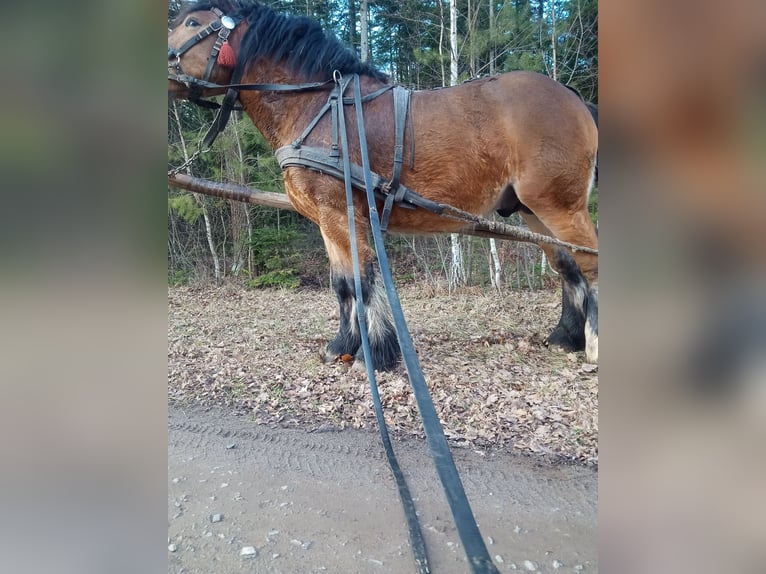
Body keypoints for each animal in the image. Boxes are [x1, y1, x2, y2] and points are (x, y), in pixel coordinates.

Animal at [168, 0, 599, 371]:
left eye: (191, 22)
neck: (318, 106)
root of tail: (574, 98)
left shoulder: (339, 212)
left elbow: (360, 281)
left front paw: (372, 353)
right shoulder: (328, 218)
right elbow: (342, 283)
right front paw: (342, 346)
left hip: (561, 205)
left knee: (589, 262)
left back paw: (594, 343)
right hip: (534, 210)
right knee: (566, 264)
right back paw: (566, 336)